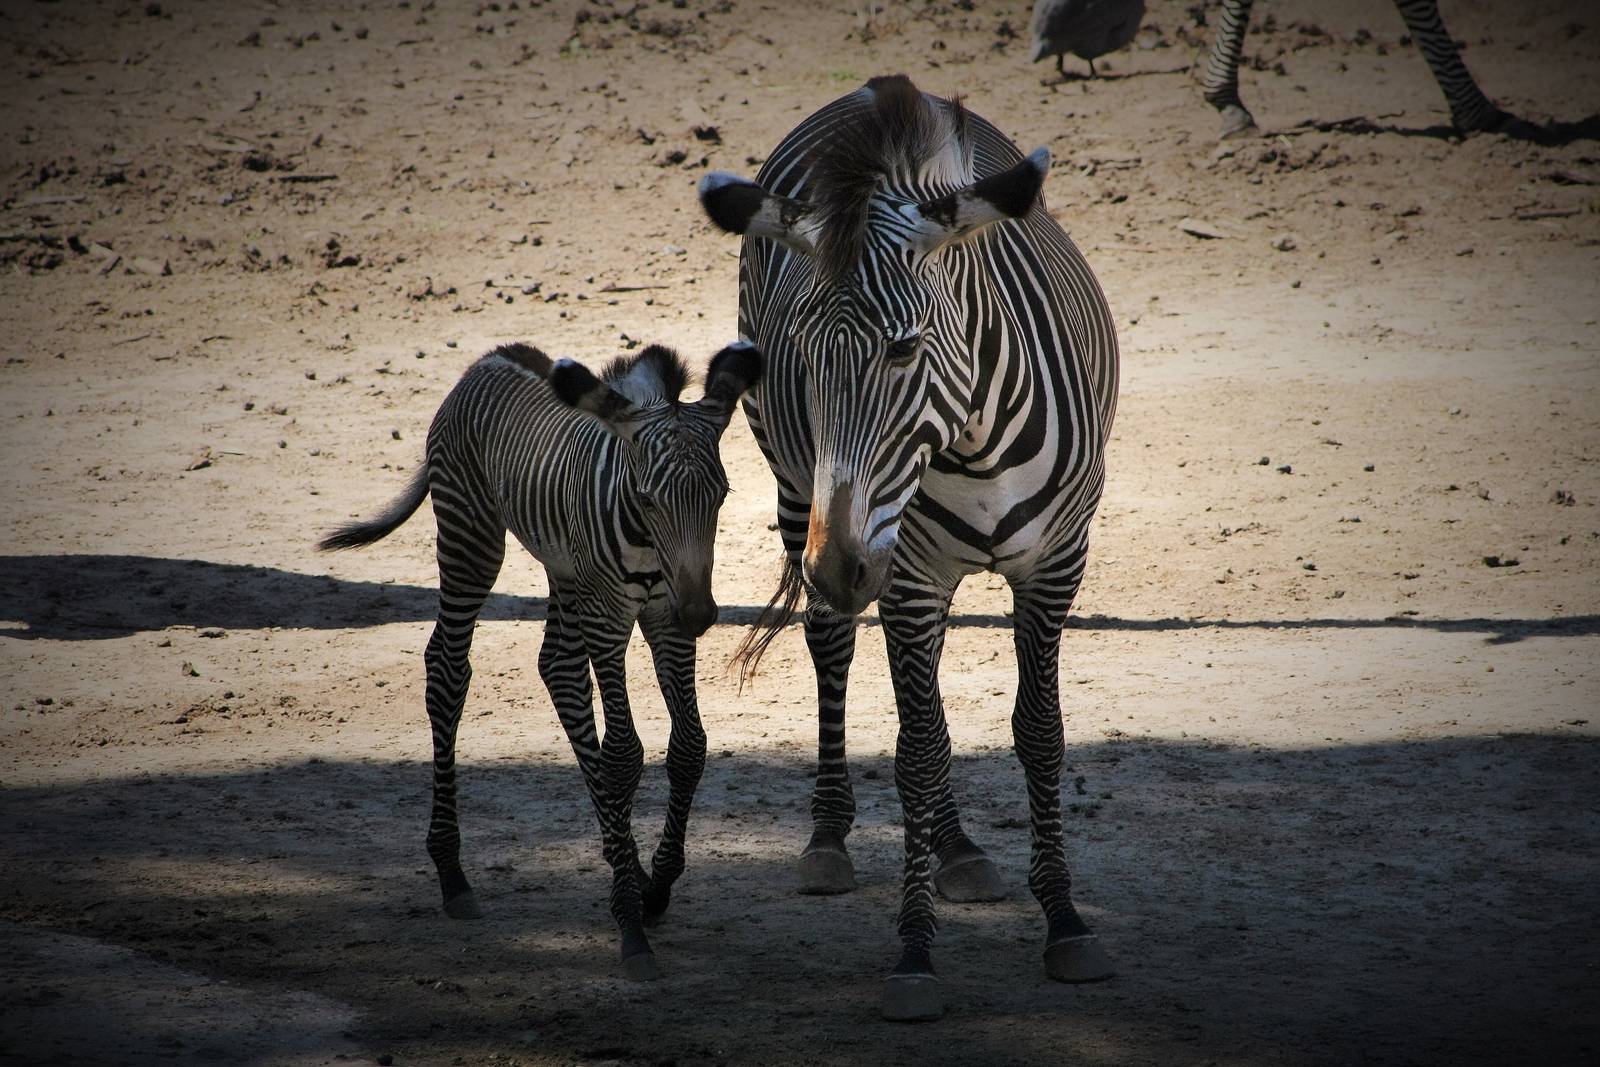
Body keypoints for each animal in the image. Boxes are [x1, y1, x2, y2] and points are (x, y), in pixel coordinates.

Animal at [317, 338, 762, 981]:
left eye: (721, 495)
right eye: (648, 498)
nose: (702, 615)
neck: (647, 545)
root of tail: (485, 359)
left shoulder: (663, 617)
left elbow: (688, 746)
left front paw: (651, 885)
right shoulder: (610, 617)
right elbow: (624, 754)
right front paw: (631, 919)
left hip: (565, 571)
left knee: (558, 669)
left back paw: (619, 856)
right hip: (472, 537)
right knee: (448, 669)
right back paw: (453, 874)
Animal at [698, 75, 1119, 1020]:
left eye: (902, 348)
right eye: (801, 357)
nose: (839, 565)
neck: (972, 442)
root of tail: (880, 89)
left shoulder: (1055, 565)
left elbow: (1037, 730)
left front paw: (1067, 921)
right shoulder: (908, 573)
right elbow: (918, 747)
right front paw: (916, 952)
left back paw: (958, 846)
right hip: (800, 493)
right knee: (834, 648)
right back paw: (828, 836)